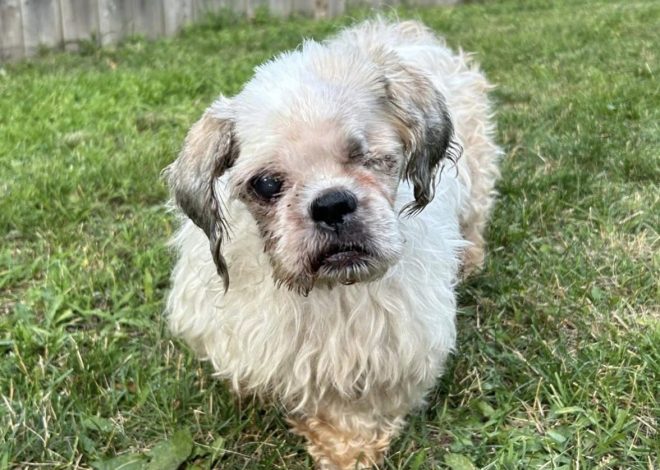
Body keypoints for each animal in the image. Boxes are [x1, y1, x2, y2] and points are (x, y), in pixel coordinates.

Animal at [166, 19, 500, 470]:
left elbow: (358, 412)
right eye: (266, 184)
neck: (319, 293)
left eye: (371, 158)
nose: (332, 203)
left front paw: (346, 450)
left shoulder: (392, 345)